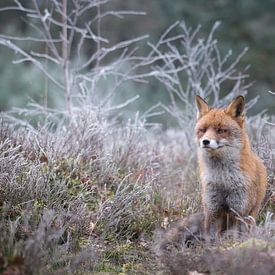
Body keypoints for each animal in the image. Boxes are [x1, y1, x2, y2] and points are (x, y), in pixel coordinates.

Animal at [195, 96, 268, 236]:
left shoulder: (239, 209)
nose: (205, 141)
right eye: (203, 130)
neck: (223, 179)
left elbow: (235, 235)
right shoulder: (211, 207)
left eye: (220, 130)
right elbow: (208, 235)